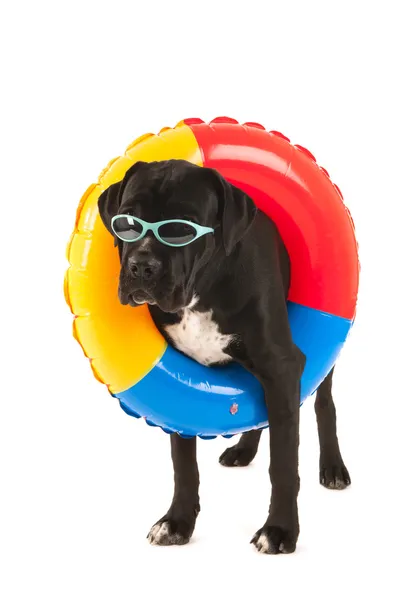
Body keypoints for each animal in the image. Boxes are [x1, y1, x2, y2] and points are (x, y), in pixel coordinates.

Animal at [97, 158, 350, 552]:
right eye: (127, 221)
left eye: (181, 229)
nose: (141, 266)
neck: (203, 289)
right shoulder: (182, 379)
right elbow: (183, 463)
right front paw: (177, 523)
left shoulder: (282, 366)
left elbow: (283, 461)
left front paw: (280, 530)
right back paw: (243, 451)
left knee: (324, 404)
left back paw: (333, 467)